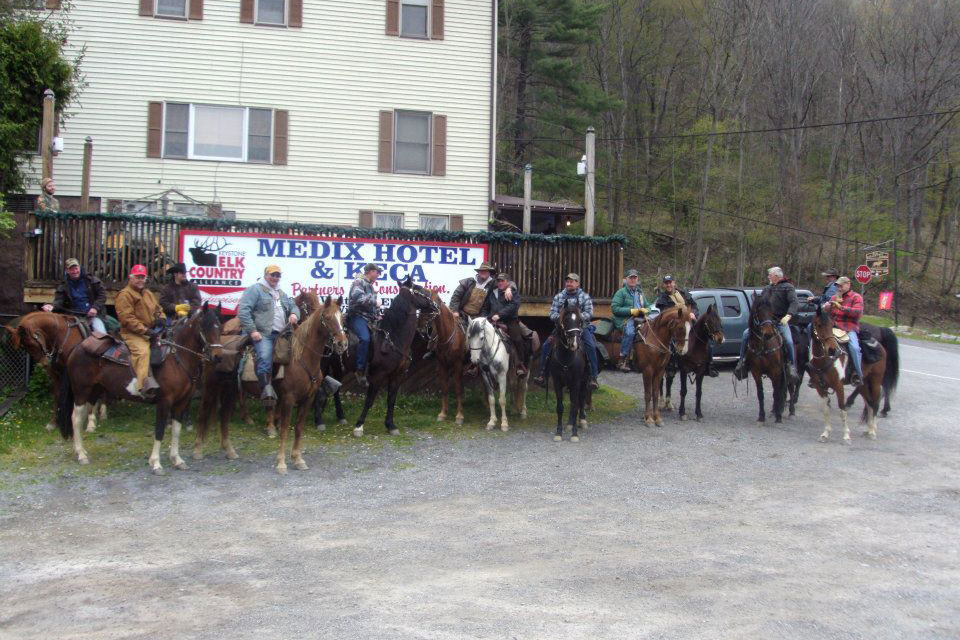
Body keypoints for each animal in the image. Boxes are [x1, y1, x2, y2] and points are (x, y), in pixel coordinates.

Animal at [59, 302, 224, 472]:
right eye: (204, 327)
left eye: (220, 327)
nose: (218, 356)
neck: (176, 358)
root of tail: (77, 348)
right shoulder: (165, 401)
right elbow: (159, 430)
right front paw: (156, 463)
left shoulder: (182, 402)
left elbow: (176, 431)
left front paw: (177, 460)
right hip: (81, 391)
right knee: (76, 418)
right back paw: (81, 455)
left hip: (94, 390)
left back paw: (81, 450)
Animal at [350, 278, 436, 438]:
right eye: (420, 289)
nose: (435, 304)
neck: (393, 338)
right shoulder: (377, 375)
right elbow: (369, 400)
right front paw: (359, 426)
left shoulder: (397, 375)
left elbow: (391, 399)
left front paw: (390, 425)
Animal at [544, 300, 588, 440]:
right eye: (566, 320)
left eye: (580, 321)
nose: (574, 343)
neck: (566, 357)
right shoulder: (557, 381)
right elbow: (560, 407)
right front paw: (559, 433)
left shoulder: (576, 381)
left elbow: (574, 406)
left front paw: (574, 434)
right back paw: (569, 424)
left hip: (584, 381)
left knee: (581, 398)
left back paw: (581, 421)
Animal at [744, 296, 788, 424]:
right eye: (758, 312)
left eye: (771, 311)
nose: (768, 333)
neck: (762, 346)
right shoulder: (756, 372)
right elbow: (760, 394)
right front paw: (761, 416)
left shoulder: (776, 372)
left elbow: (776, 393)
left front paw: (778, 416)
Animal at [808, 304, 852, 444]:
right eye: (819, 324)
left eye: (832, 324)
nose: (833, 350)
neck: (824, 361)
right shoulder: (820, 388)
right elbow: (826, 410)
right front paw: (825, 434)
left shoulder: (839, 386)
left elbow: (842, 410)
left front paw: (846, 436)